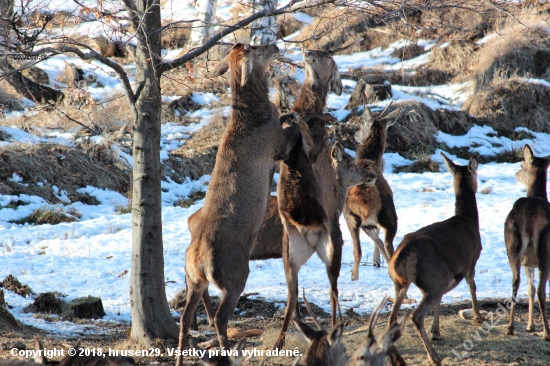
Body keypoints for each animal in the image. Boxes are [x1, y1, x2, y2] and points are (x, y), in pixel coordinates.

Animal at [179, 43, 312, 358]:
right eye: (256, 48)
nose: (275, 44)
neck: (254, 117)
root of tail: (199, 260)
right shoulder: (277, 146)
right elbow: (291, 126)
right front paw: (299, 115)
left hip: (195, 280)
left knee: (185, 317)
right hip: (235, 273)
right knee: (219, 317)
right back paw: (228, 351)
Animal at [276, 141, 380, 348]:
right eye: (351, 165)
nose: (372, 175)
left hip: (289, 254)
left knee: (292, 294)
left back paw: (280, 341)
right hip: (333, 246)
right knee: (333, 291)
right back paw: (334, 329)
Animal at [344, 103, 402, 278]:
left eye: (362, 124)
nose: (355, 134)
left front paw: (376, 262)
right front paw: (376, 262)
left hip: (352, 217)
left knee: (360, 250)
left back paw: (354, 275)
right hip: (387, 217)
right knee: (388, 246)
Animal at [388, 153, 484, 364]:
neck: (469, 220)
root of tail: (401, 259)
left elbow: (441, 299)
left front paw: (437, 331)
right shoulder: (471, 261)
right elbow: (472, 286)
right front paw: (478, 317)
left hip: (402, 284)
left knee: (392, 317)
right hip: (433, 277)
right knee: (416, 316)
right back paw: (433, 356)